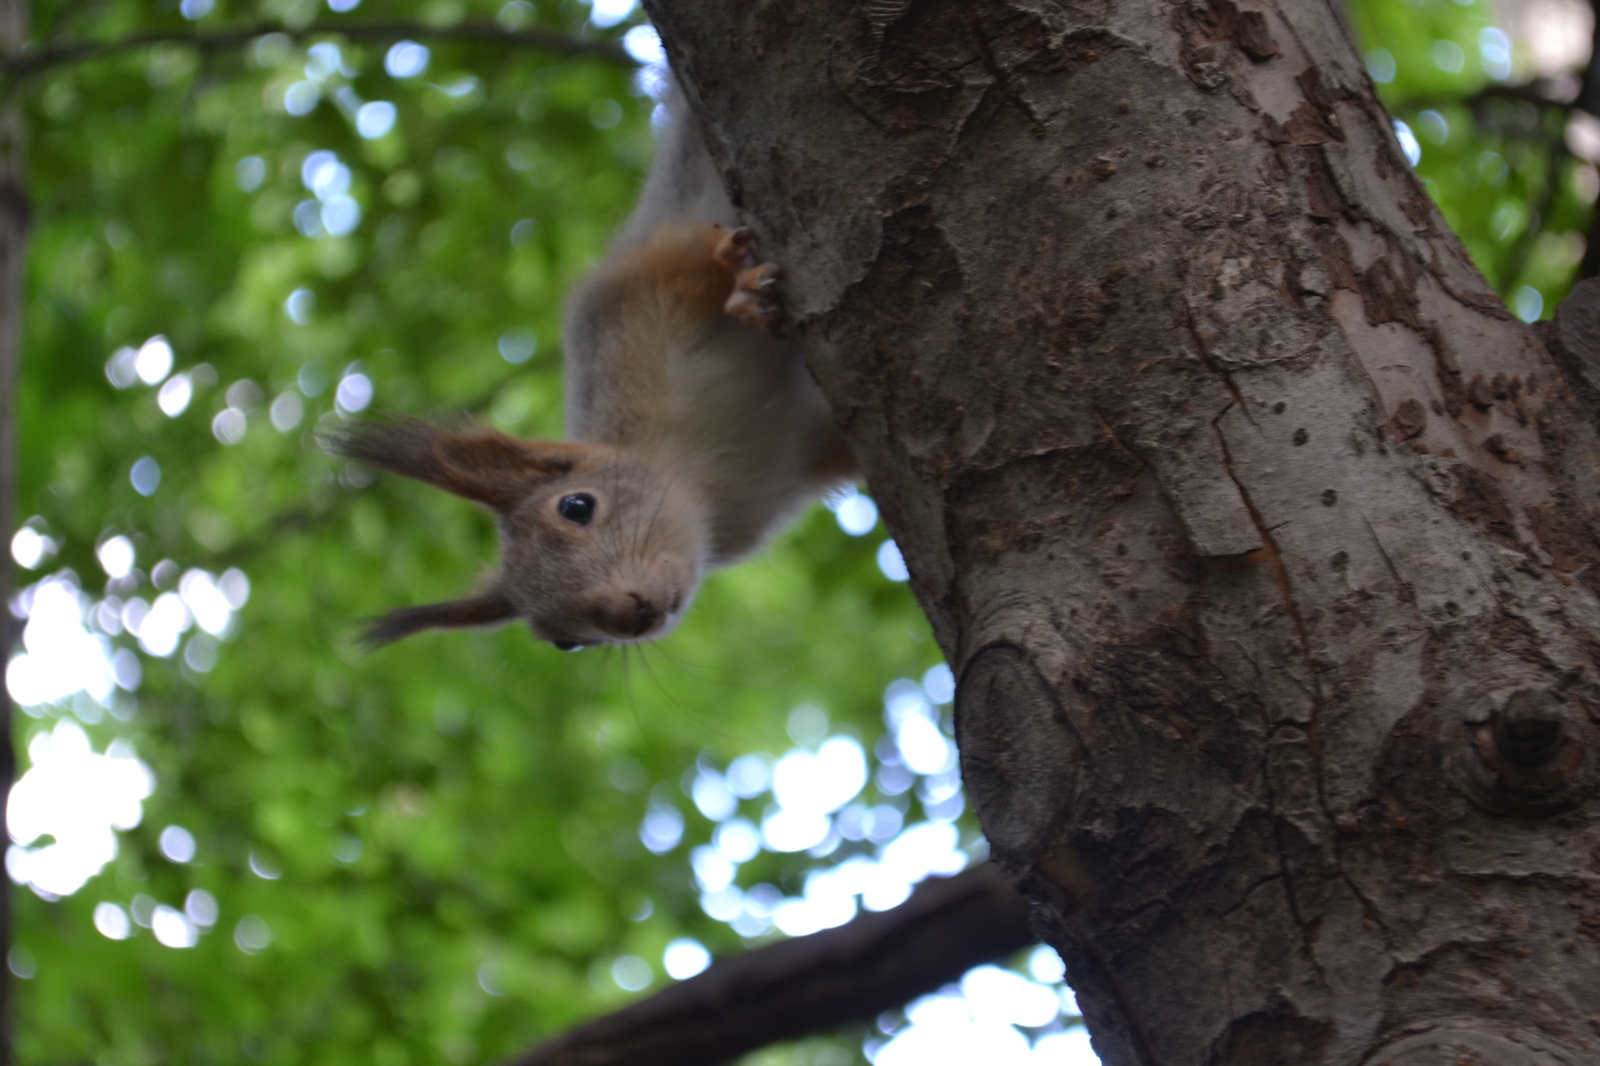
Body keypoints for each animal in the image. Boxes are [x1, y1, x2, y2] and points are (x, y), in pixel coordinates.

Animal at [324, 85, 864, 646]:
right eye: (564, 641)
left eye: (576, 506)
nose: (630, 616)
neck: (704, 475)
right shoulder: (803, 454)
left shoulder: (628, 302)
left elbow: (689, 259)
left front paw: (739, 285)